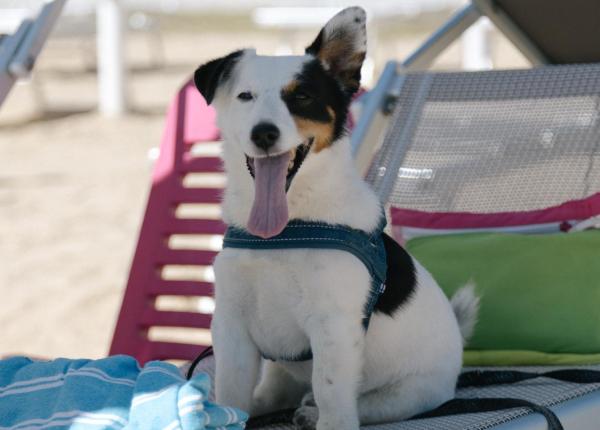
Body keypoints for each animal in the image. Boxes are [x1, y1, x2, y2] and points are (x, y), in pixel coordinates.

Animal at [192, 6, 478, 430]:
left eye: (303, 96)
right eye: (245, 96)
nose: (264, 133)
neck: (285, 229)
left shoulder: (334, 327)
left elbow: (332, 395)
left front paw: (324, 414)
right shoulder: (230, 323)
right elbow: (231, 393)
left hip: (407, 393)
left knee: (356, 406)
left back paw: (312, 413)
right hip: (280, 368)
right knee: (275, 392)